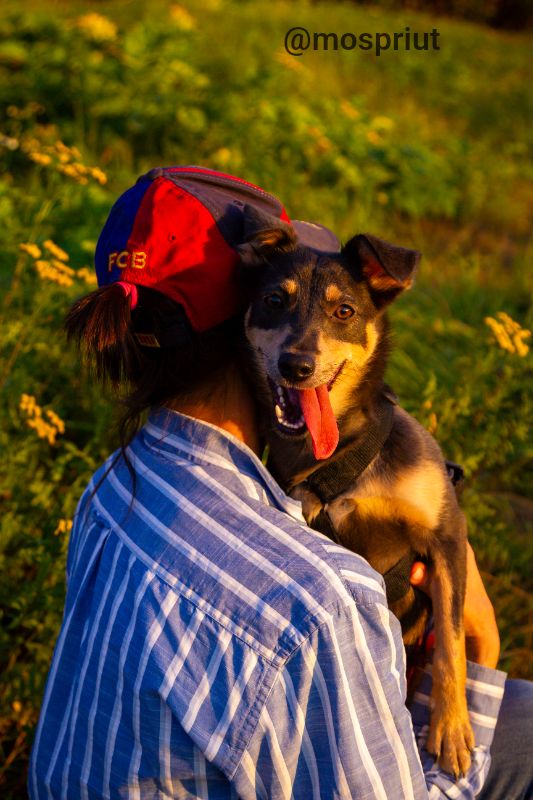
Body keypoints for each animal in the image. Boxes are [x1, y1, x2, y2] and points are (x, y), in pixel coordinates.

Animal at [237, 203, 474, 780]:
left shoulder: (447, 533)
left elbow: (452, 638)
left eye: (344, 311)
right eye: (274, 301)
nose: (296, 365)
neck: (339, 454)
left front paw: (452, 729)